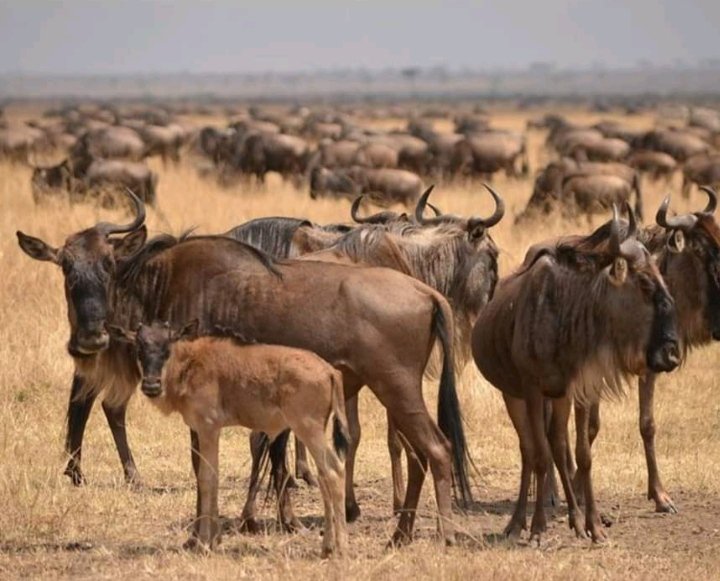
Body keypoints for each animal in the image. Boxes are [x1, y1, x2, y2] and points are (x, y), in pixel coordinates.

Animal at [109, 320, 348, 556]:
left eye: (167, 347)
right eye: (138, 348)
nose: (151, 385)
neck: (189, 363)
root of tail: (330, 371)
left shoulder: (208, 428)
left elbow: (207, 478)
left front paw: (204, 543)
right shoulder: (206, 431)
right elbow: (210, 476)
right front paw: (212, 540)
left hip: (308, 429)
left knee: (333, 472)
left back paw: (340, 547)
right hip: (313, 431)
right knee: (325, 476)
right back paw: (327, 546)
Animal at [472, 205, 680, 544]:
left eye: (663, 277)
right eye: (645, 285)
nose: (671, 354)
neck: (564, 314)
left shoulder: (578, 390)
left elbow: (583, 455)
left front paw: (593, 525)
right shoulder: (533, 390)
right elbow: (541, 456)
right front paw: (539, 528)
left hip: (557, 398)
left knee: (558, 446)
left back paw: (575, 518)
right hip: (513, 395)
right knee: (530, 450)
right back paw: (517, 523)